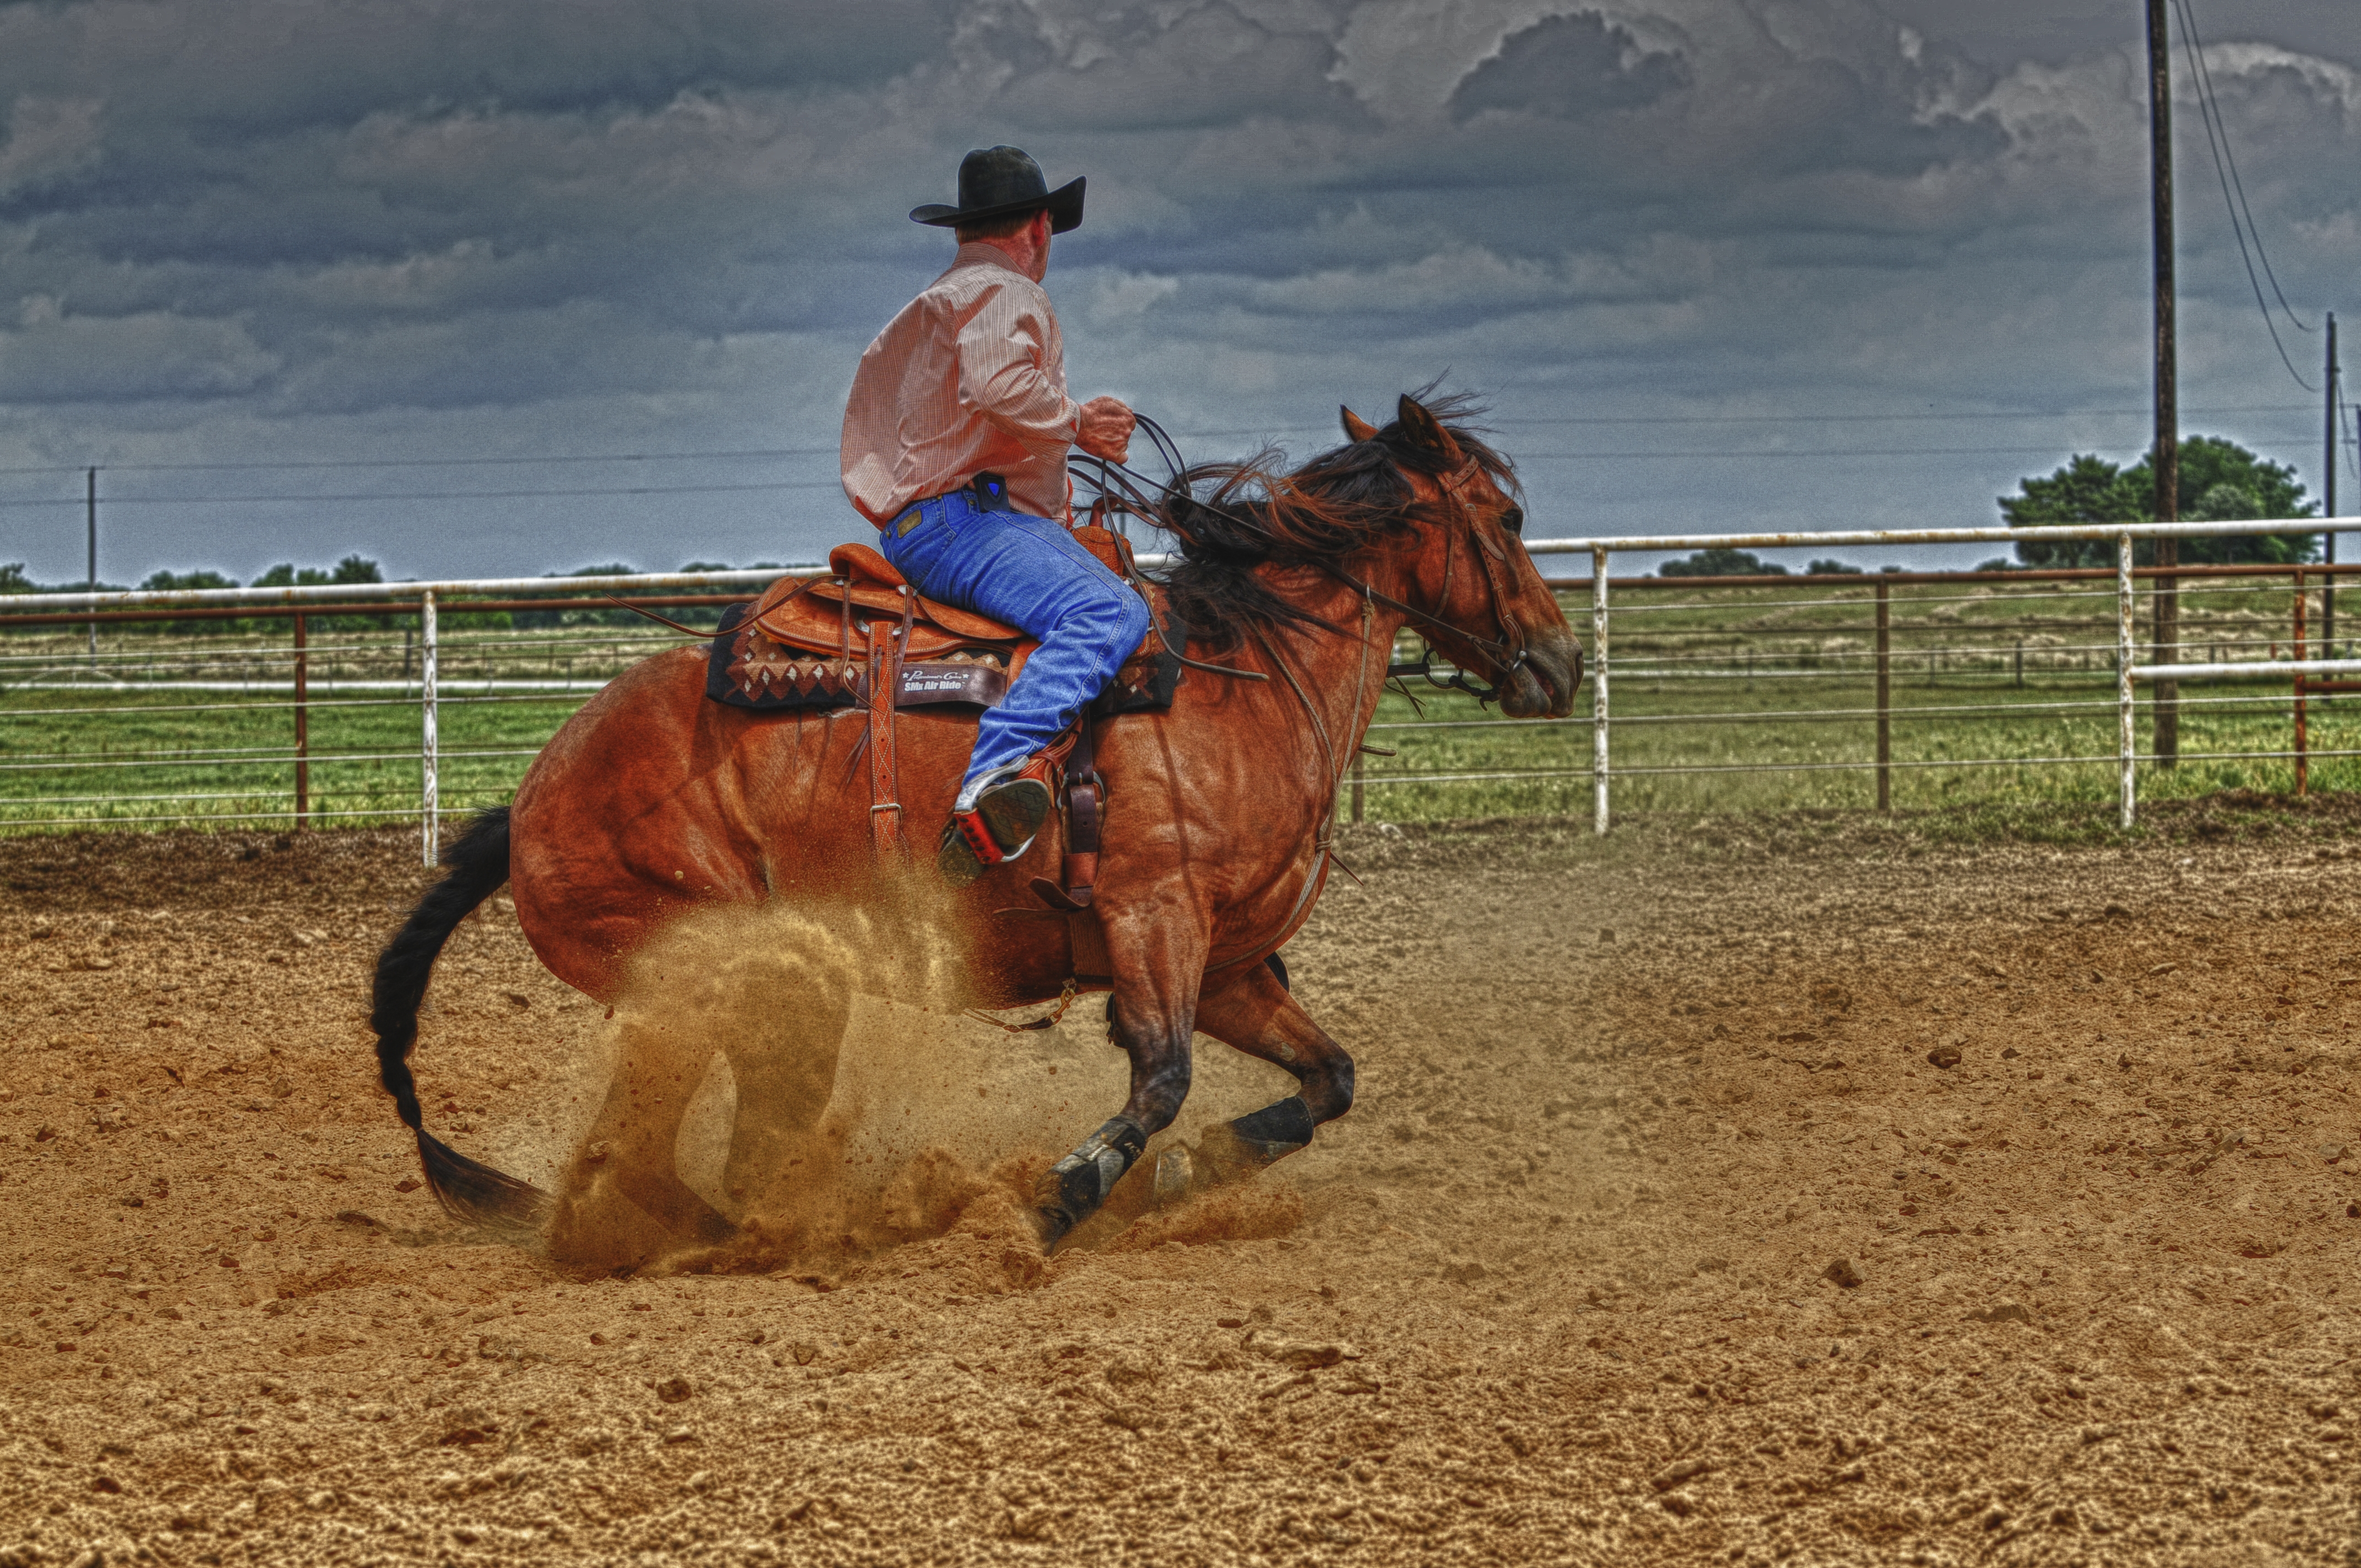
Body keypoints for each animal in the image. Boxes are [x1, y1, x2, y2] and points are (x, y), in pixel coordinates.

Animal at [368, 391, 1586, 1265]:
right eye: (1509, 518)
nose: (1560, 662)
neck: (1240, 678)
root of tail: (532, 797)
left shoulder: (1231, 958)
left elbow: (1329, 1077)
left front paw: (1186, 1172)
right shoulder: (1155, 918)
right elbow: (1160, 1076)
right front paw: (1057, 1201)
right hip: (719, 978)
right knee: (660, 1159)